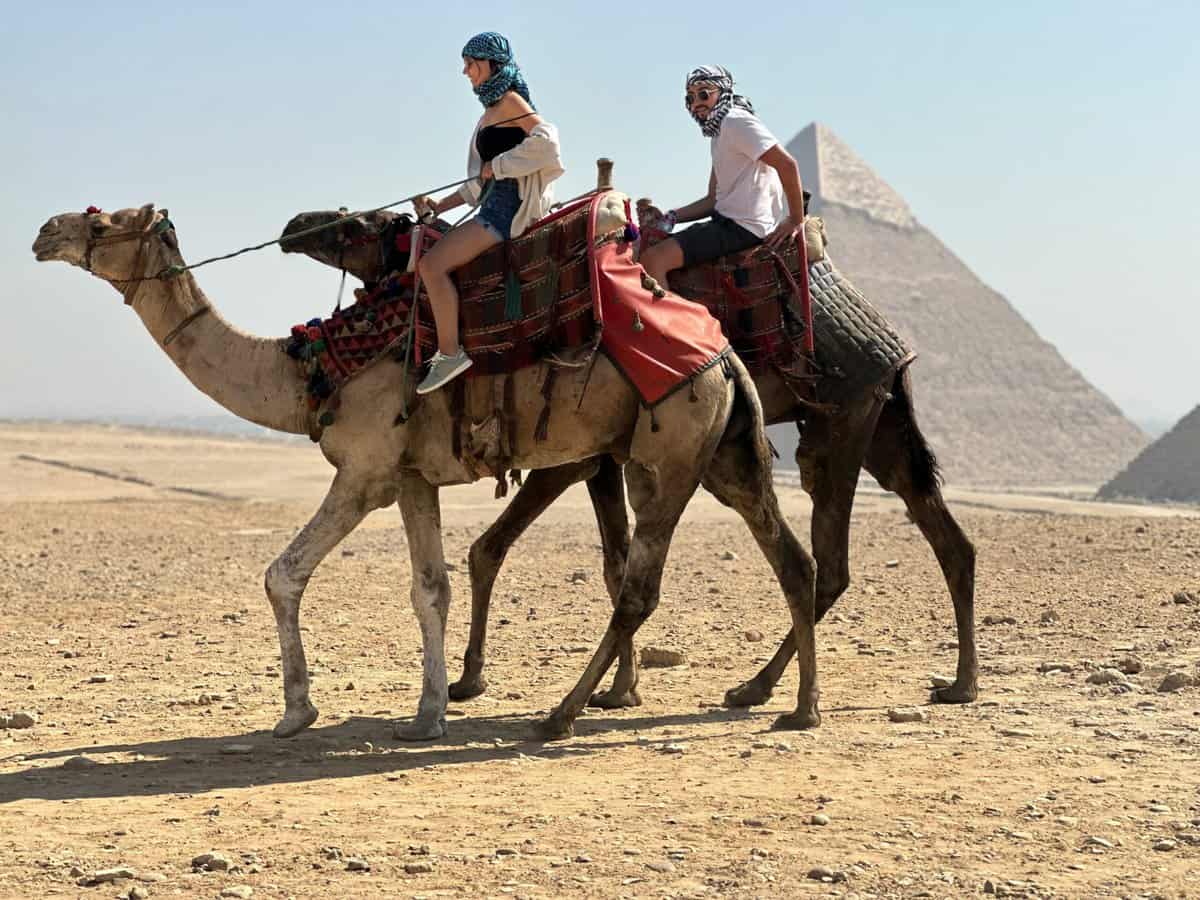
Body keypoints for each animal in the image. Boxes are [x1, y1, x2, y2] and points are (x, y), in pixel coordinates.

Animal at [32, 207, 820, 744]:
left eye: (102, 220)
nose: (44, 231)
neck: (313, 367)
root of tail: (724, 357)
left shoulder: (365, 472)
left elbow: (282, 575)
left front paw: (297, 711)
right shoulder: (413, 478)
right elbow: (430, 589)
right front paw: (428, 711)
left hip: (667, 453)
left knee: (639, 588)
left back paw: (563, 713)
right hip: (725, 451)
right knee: (792, 559)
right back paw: (793, 705)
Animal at [285, 207, 979, 715]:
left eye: (356, 226)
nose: (296, 226)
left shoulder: (579, 452)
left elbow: (512, 550)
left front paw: (501, 682)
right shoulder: (599, 454)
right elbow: (590, 559)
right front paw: (613, 688)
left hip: (836, 423)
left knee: (831, 561)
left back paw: (766, 688)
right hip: (878, 419)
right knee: (943, 537)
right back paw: (954, 683)